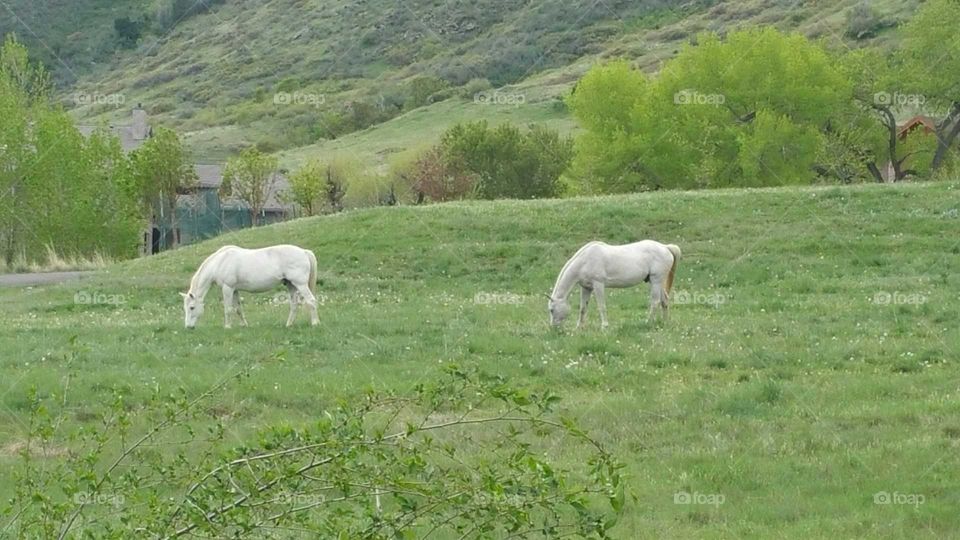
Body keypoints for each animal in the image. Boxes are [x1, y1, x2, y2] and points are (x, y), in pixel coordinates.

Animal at [178, 246, 316, 330]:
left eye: (192, 307)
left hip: (300, 284)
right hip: (291, 285)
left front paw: (227, 327)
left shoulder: (227, 288)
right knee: (294, 305)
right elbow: (238, 309)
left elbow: (228, 309)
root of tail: (304, 251)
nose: (188, 327)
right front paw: (244, 325)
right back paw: (288, 325)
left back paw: (315, 323)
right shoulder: (234, 290)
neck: (220, 262)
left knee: (311, 301)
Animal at [548, 240, 684, 330]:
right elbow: (583, 308)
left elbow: (601, 306)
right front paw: (579, 327)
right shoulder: (586, 288)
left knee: (655, 302)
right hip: (657, 282)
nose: (553, 328)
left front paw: (604, 326)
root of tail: (665, 247)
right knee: (664, 300)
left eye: (551, 310)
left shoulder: (598, 285)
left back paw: (648, 322)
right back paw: (664, 322)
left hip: (656, 281)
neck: (585, 261)